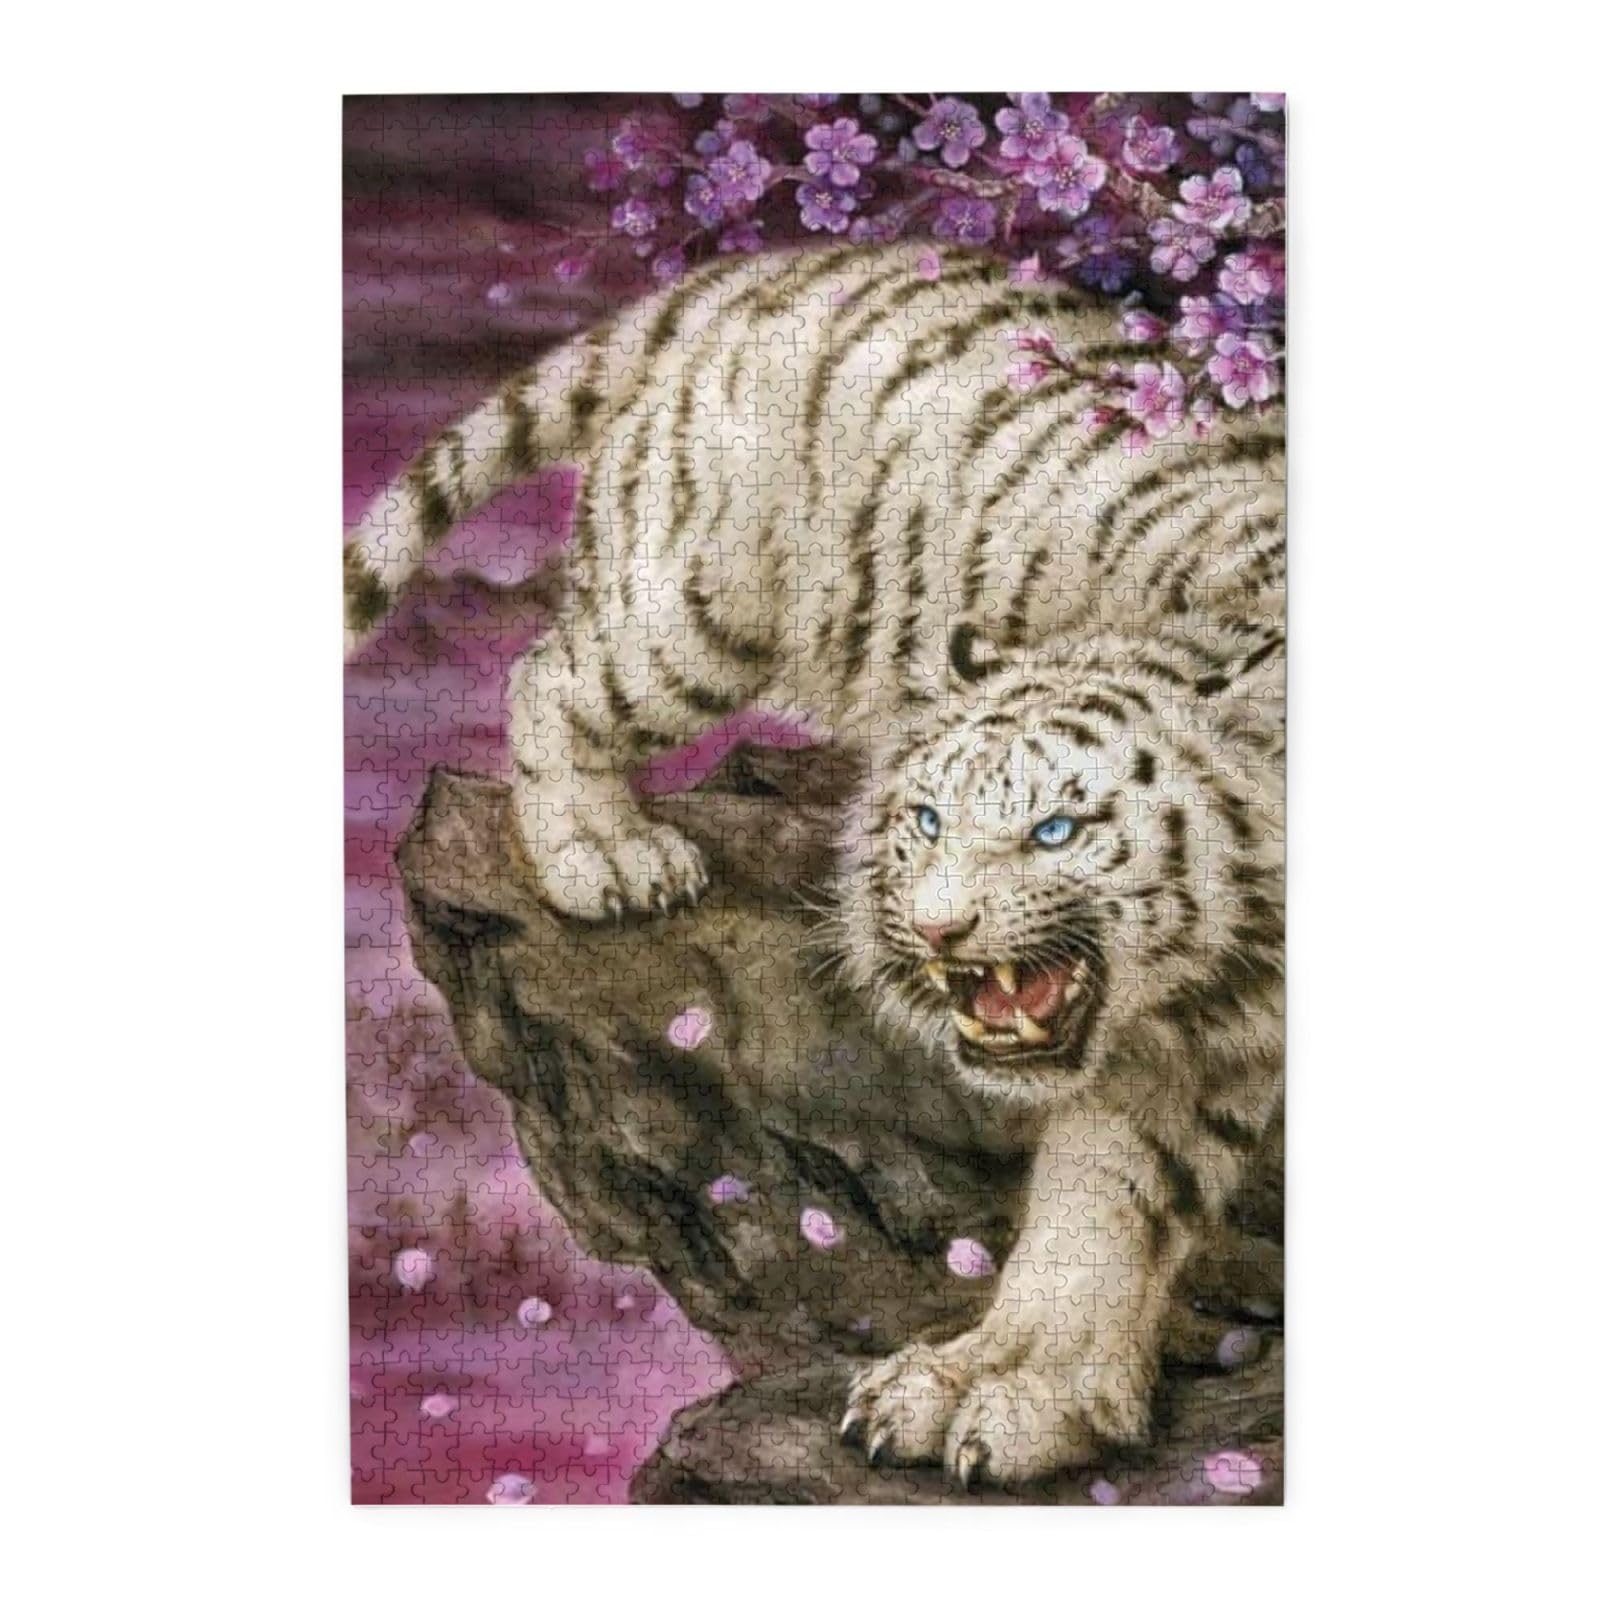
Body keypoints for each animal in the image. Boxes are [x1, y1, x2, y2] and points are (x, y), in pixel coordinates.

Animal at [344, 240, 1285, 1484]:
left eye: (1056, 829)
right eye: (926, 818)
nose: (935, 931)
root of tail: (765, 273)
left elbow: (1117, 1194)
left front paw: (1010, 1394)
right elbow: (1103, 1192)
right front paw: (993, 1388)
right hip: (694, 608)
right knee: (549, 673)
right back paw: (606, 855)